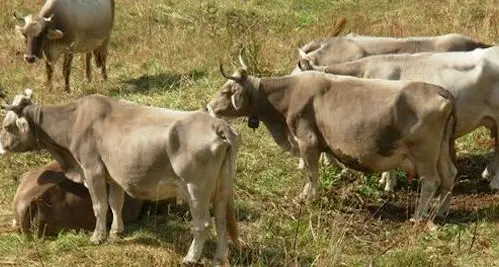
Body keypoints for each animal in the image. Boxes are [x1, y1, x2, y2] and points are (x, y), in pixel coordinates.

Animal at [206, 57, 458, 223]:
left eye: (226, 91)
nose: (207, 107)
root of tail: (440, 91)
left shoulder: (307, 141)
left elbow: (311, 172)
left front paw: (307, 198)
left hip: (424, 153)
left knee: (431, 181)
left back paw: (418, 216)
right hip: (441, 151)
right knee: (449, 175)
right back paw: (441, 211)